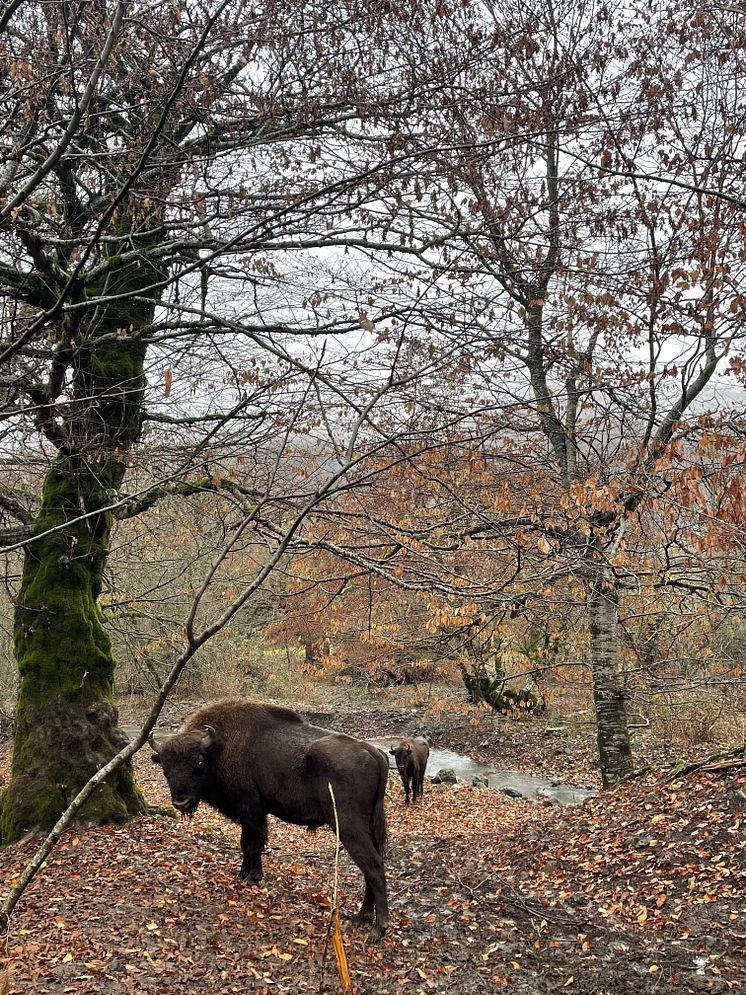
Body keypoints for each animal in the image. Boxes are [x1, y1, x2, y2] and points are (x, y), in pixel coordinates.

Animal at [147, 700, 390, 940]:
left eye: (198, 761)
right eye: (166, 767)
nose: (181, 802)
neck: (219, 749)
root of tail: (374, 752)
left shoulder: (252, 812)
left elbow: (253, 844)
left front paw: (252, 877)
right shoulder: (249, 816)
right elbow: (245, 844)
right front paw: (244, 874)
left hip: (349, 826)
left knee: (373, 866)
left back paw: (378, 929)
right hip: (368, 825)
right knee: (372, 865)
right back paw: (362, 917)